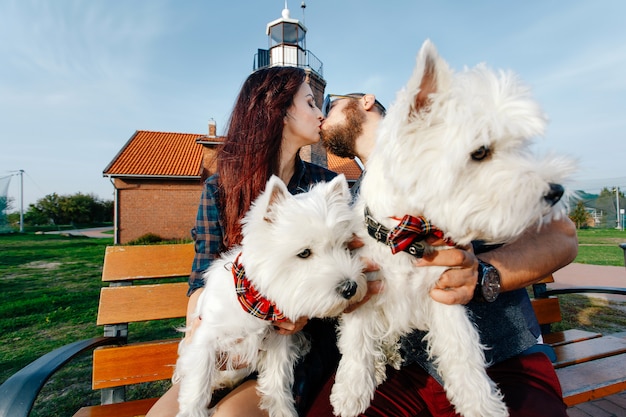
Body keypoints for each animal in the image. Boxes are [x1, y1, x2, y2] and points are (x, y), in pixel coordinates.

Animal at [172, 173, 366, 416]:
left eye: (345, 246)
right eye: (304, 253)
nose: (350, 288)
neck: (257, 301)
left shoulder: (279, 340)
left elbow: (277, 380)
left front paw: (283, 410)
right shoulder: (207, 338)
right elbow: (198, 382)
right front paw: (192, 411)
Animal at [330, 39, 572, 416]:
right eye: (480, 151)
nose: (556, 191)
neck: (407, 233)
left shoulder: (444, 298)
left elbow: (463, 355)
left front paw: (483, 405)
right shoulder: (366, 296)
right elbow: (357, 345)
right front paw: (351, 393)